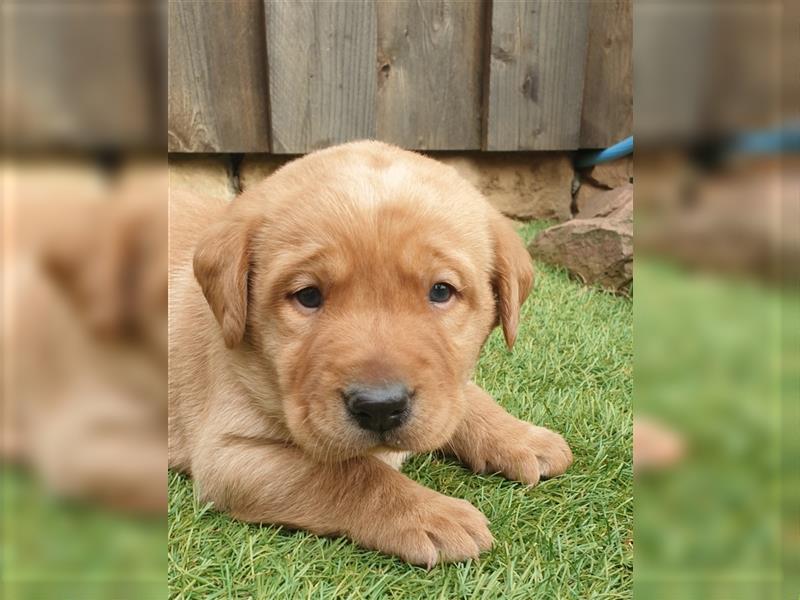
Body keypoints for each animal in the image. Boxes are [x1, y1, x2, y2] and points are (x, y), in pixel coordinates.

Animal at [169, 142, 572, 568]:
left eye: (441, 291)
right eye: (308, 296)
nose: (380, 408)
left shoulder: (447, 387)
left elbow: (466, 399)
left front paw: (521, 437)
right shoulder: (228, 455)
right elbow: (348, 473)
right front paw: (430, 514)